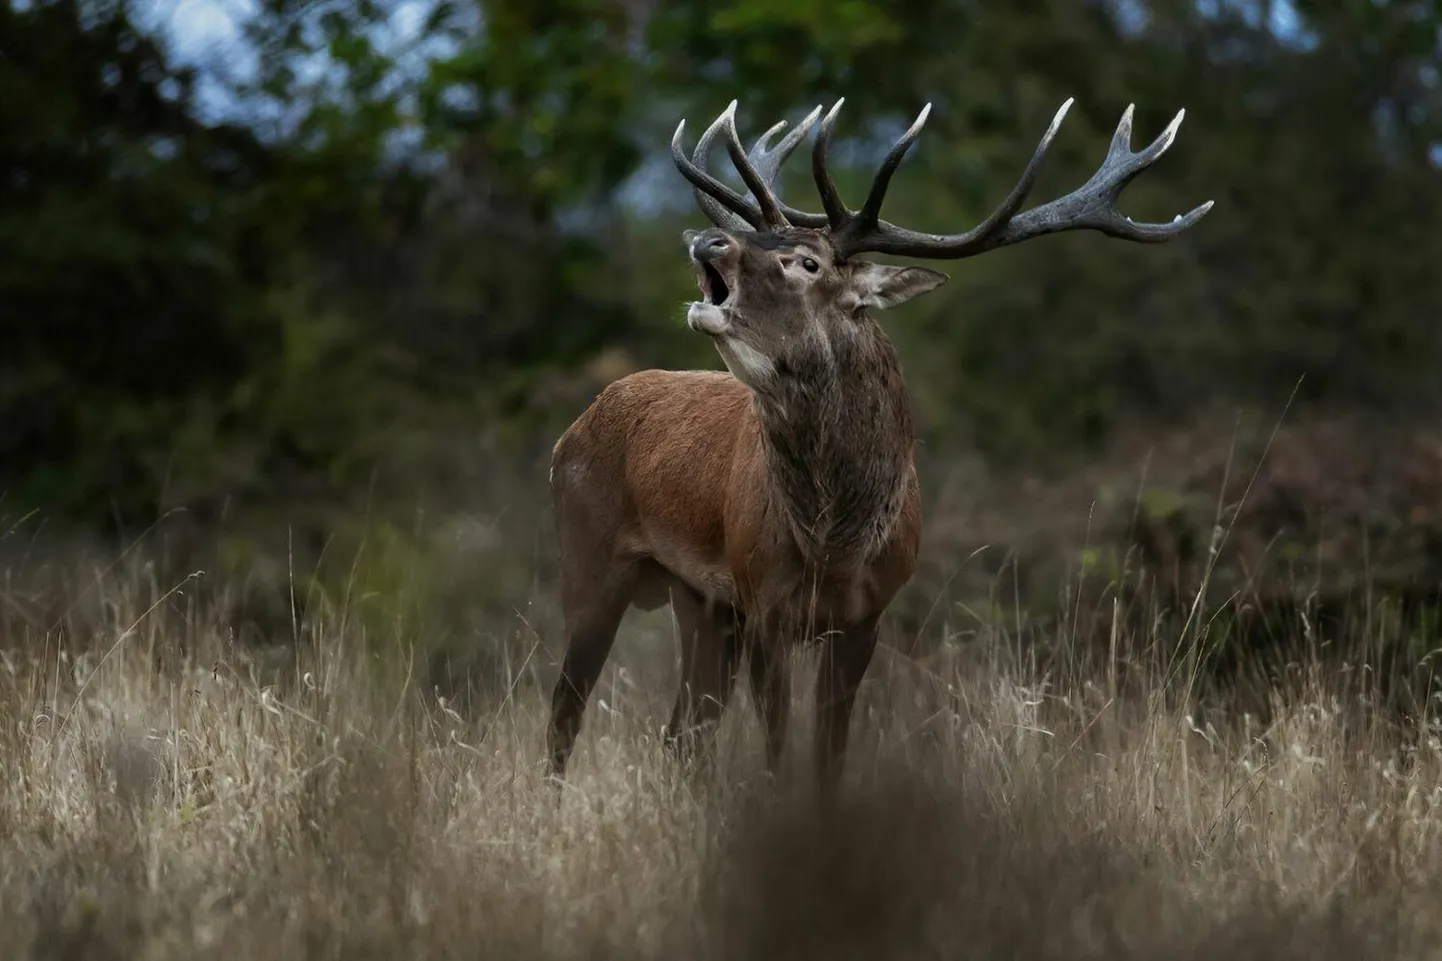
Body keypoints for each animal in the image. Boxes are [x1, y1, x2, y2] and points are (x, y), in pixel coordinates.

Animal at [545, 93, 1211, 790]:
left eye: (807, 261)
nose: (707, 238)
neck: (833, 545)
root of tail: (573, 430)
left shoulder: (865, 618)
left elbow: (828, 755)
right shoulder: (766, 607)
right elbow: (780, 752)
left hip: (699, 602)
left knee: (678, 735)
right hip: (591, 561)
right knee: (565, 714)